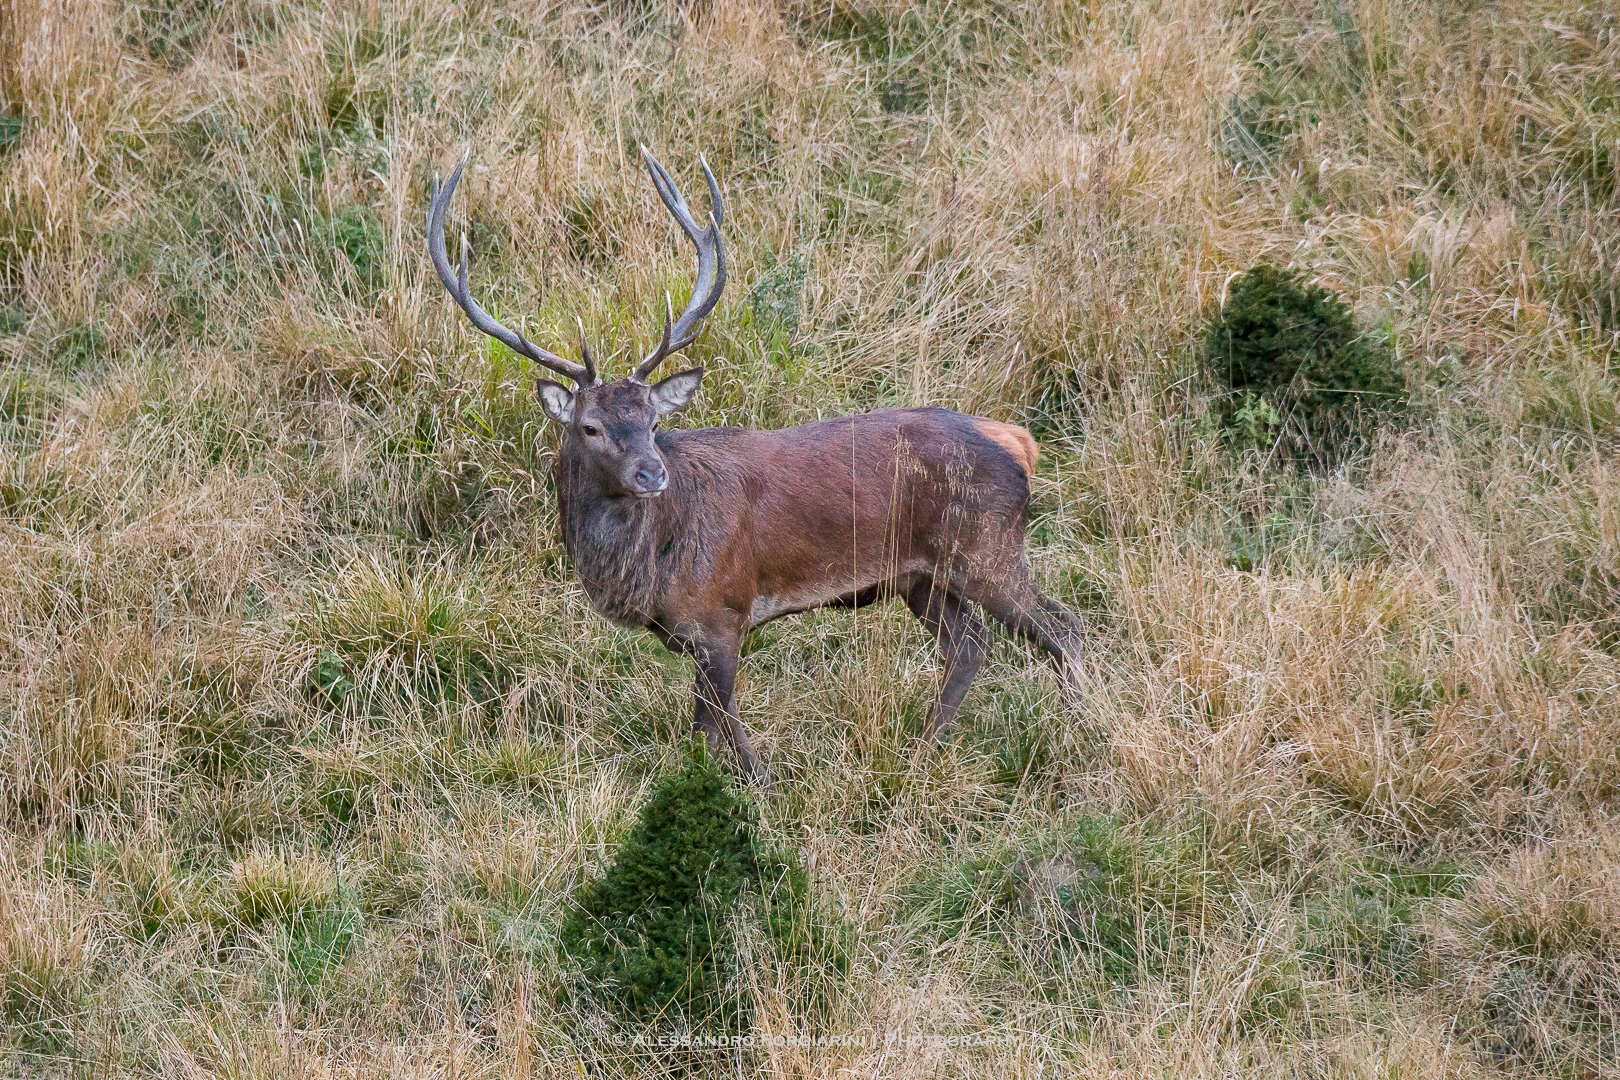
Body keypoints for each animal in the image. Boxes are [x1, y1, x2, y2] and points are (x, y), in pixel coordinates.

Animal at [427, 147, 1086, 782]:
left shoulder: (721, 610)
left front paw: (736, 787)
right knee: (970, 645)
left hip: (988, 547)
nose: (651, 474)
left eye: (653, 421)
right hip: (924, 576)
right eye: (591, 427)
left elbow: (710, 727)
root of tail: (1017, 440)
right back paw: (924, 748)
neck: (653, 567)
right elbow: (723, 720)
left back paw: (1075, 730)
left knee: (1062, 627)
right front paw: (760, 778)